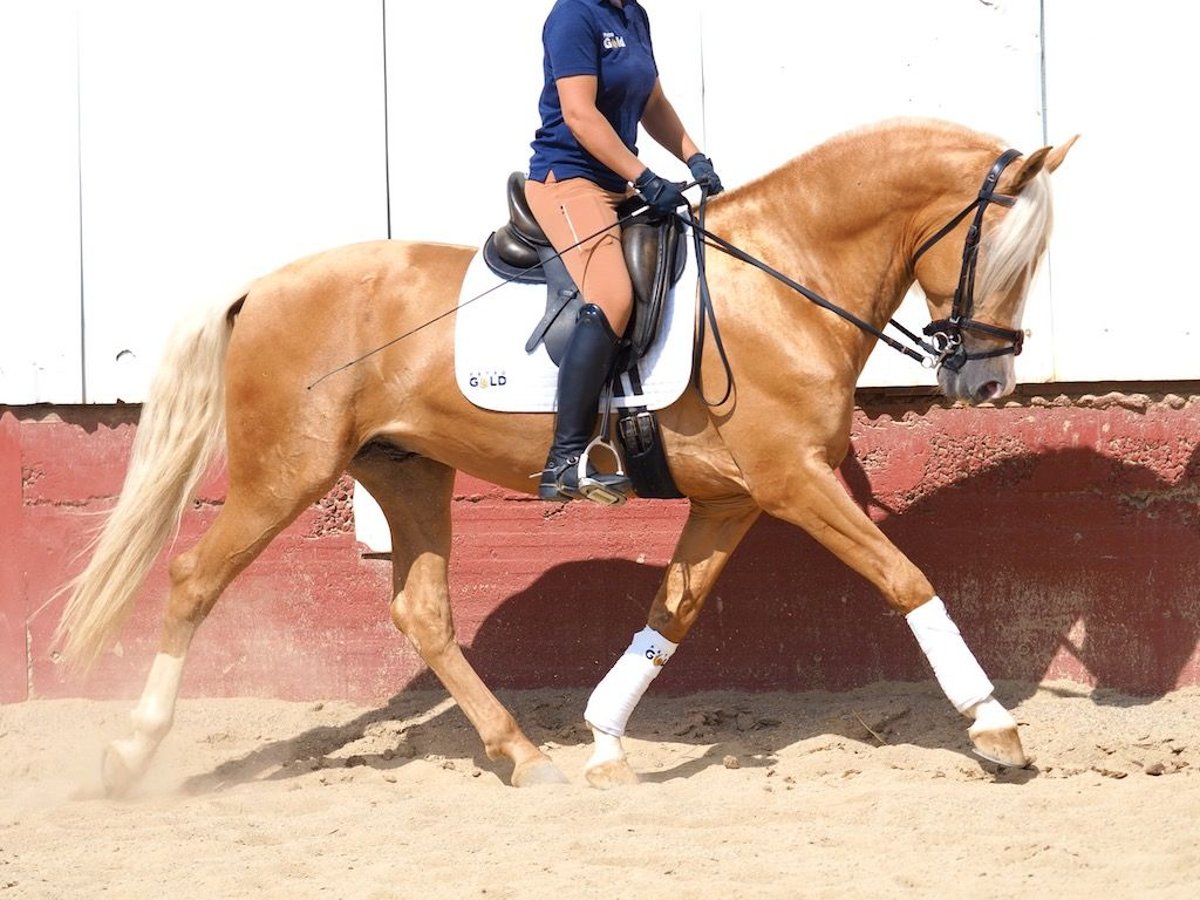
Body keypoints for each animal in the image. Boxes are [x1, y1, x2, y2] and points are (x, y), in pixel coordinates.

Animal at [56, 118, 1075, 787]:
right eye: (1006, 256)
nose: (987, 384)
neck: (780, 283)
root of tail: (261, 285)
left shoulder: (734, 499)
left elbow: (672, 615)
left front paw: (605, 739)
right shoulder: (791, 482)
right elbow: (906, 578)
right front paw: (995, 727)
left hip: (408, 471)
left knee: (422, 613)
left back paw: (520, 753)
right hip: (284, 474)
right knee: (194, 580)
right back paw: (130, 753)